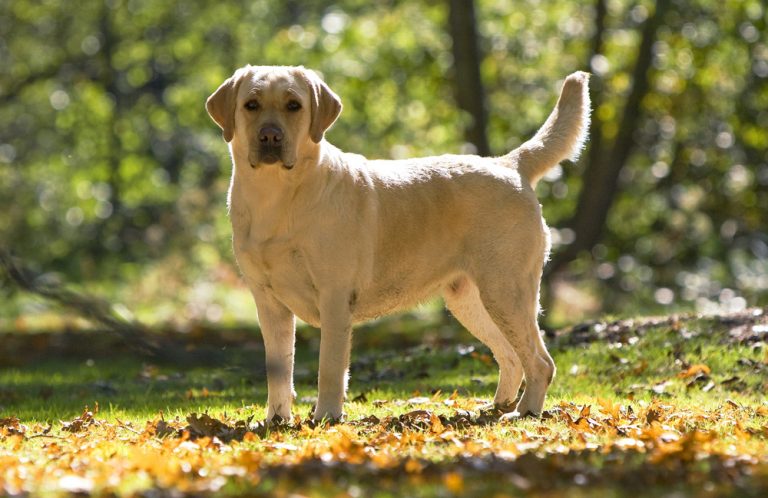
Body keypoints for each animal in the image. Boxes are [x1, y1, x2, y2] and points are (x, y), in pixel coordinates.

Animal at [204, 66, 588, 422]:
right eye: (251, 105)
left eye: (294, 105)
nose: (270, 136)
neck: (276, 197)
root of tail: (509, 163)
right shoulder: (267, 302)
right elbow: (278, 370)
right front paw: (277, 419)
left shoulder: (334, 297)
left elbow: (330, 368)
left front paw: (326, 417)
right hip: (471, 300)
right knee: (511, 355)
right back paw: (497, 407)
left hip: (505, 292)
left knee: (540, 361)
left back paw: (525, 411)